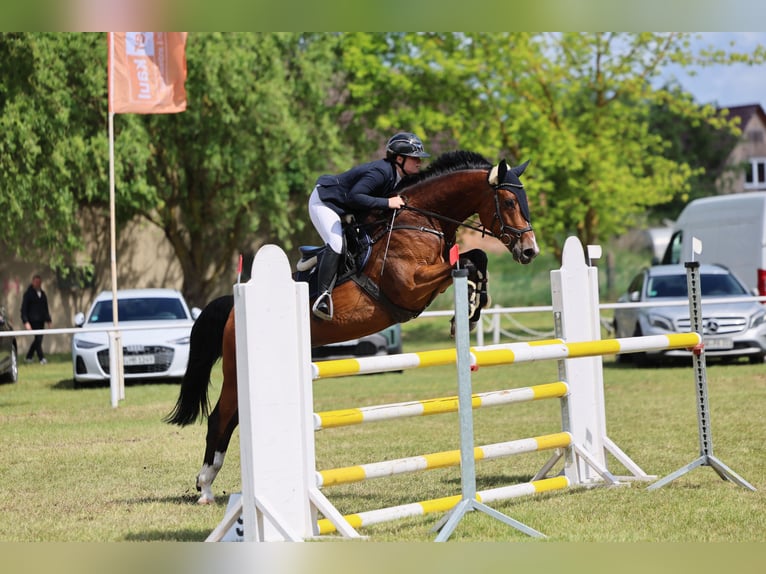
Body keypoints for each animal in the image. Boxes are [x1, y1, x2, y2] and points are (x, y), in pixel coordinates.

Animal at [165, 150, 539, 504]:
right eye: (509, 202)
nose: (530, 251)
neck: (421, 219)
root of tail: (232, 307)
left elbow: (476, 258)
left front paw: (473, 306)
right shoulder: (410, 285)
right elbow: (466, 261)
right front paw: (472, 307)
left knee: (232, 418)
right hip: (235, 369)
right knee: (220, 418)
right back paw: (205, 487)